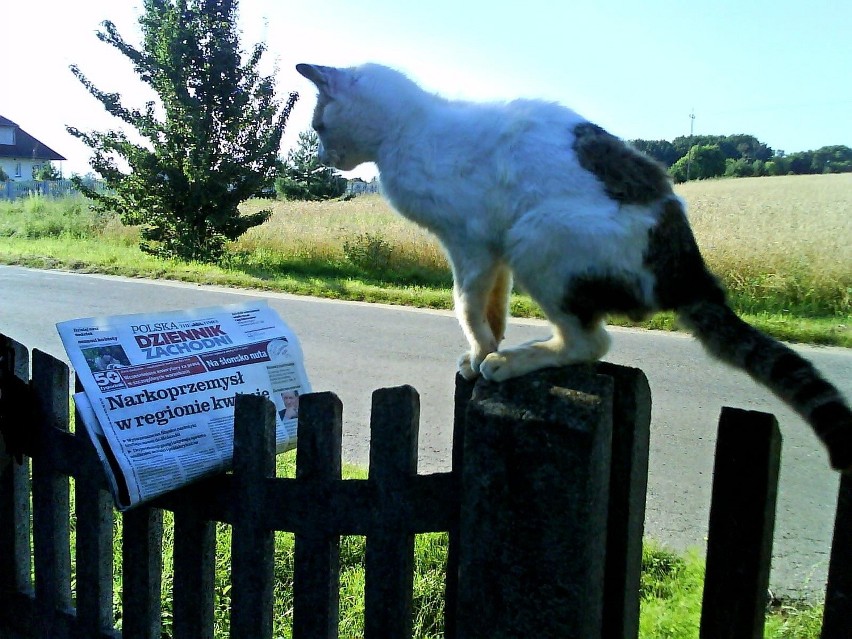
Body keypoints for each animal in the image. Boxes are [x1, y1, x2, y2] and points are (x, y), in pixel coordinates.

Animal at [294, 62, 852, 472]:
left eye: (319, 124)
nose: (321, 154)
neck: (406, 130)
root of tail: (690, 270)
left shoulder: (470, 243)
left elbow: (466, 304)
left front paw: (484, 354)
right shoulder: (494, 250)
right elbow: (492, 306)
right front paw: (484, 346)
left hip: (538, 234)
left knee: (591, 343)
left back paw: (514, 361)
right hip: (525, 240)